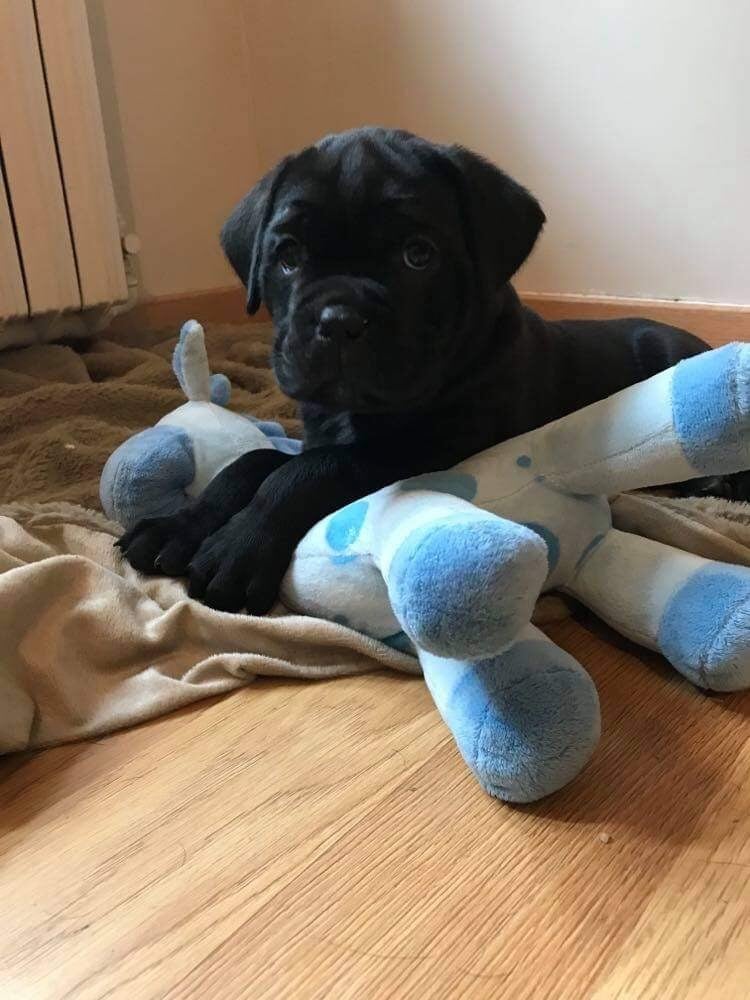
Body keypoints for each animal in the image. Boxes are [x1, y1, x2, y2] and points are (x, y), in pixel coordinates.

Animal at [119, 126, 735, 613]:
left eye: (418, 255)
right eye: (287, 257)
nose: (339, 319)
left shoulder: (431, 448)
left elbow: (303, 473)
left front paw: (237, 548)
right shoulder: (319, 432)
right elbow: (253, 462)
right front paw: (178, 526)